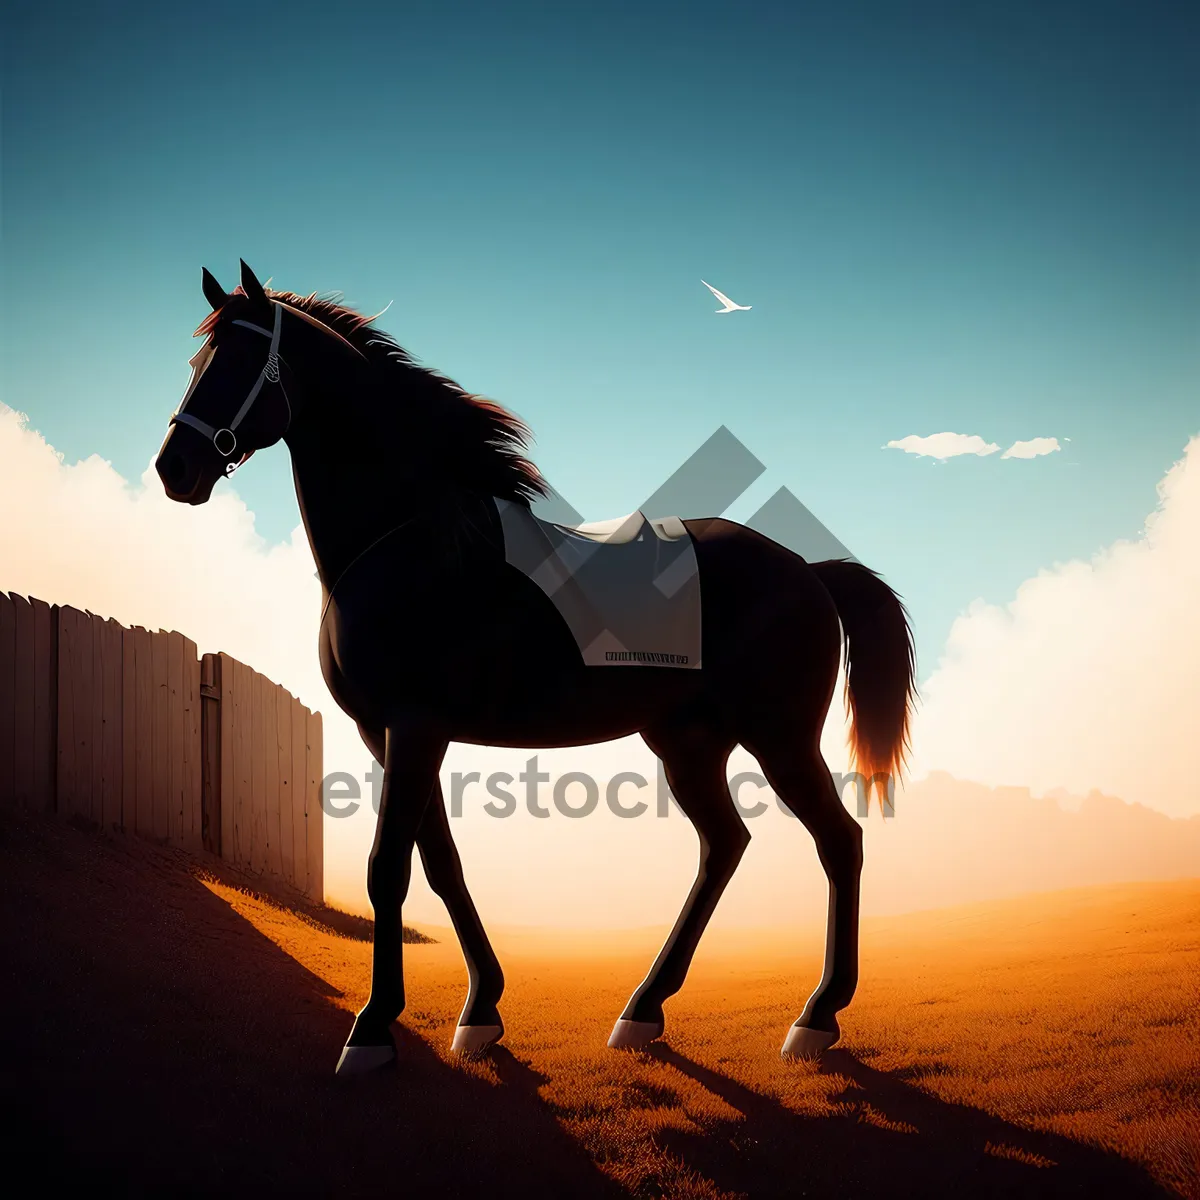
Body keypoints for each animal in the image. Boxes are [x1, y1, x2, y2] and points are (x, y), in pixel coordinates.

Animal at [154, 262, 912, 1080]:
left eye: (239, 362)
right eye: (197, 362)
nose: (174, 468)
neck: (415, 539)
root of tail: (808, 571)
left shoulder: (415, 727)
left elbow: (390, 867)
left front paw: (373, 1029)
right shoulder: (385, 734)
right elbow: (440, 863)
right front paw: (481, 1011)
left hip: (779, 738)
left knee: (839, 841)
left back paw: (816, 1017)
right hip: (688, 743)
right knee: (725, 845)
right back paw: (643, 1010)